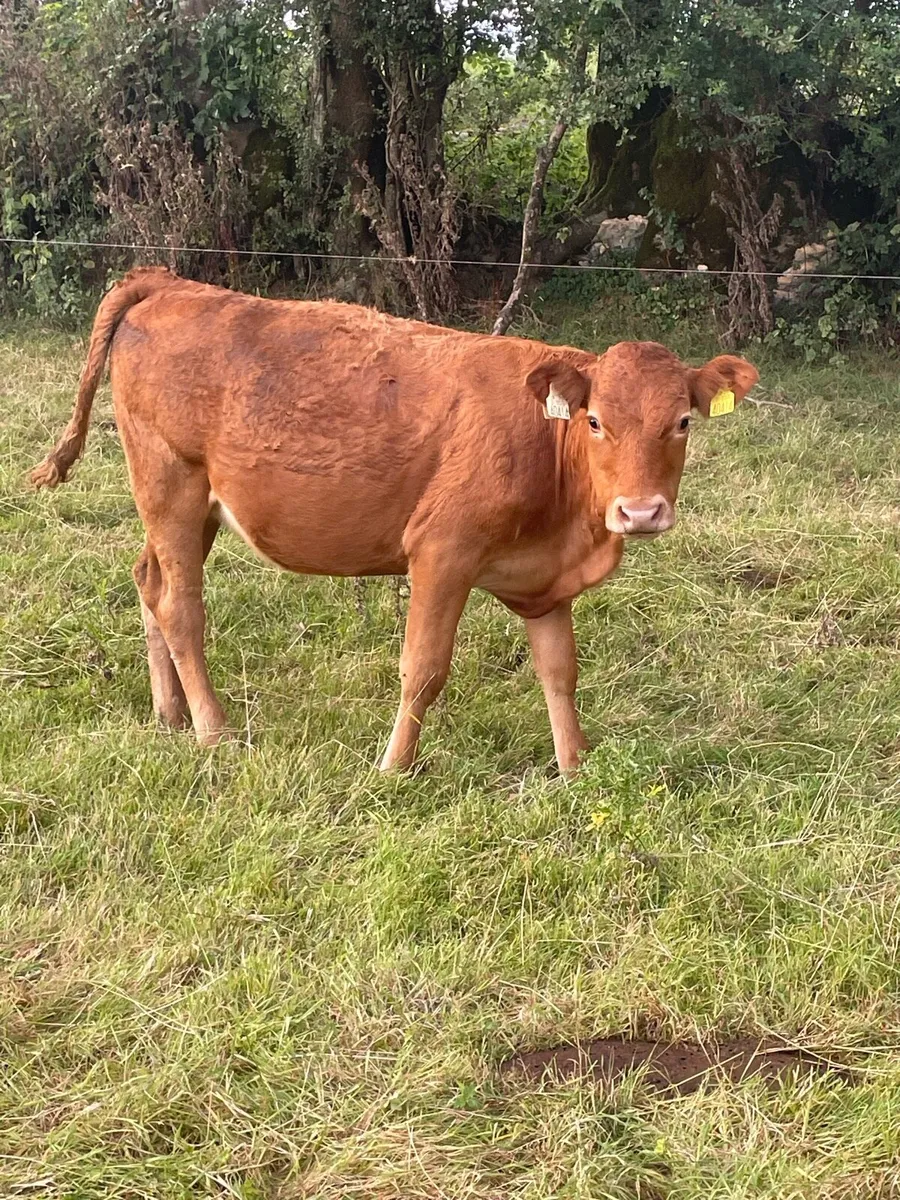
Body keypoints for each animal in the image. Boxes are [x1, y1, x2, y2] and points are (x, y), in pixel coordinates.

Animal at [31, 268, 758, 772]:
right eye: (597, 421)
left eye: (682, 422)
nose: (640, 511)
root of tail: (172, 282)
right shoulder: (441, 552)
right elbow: (425, 668)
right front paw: (393, 768)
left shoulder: (543, 581)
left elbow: (560, 671)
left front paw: (574, 766)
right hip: (170, 481)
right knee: (180, 606)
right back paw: (215, 731)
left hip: (192, 503)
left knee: (149, 582)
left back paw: (171, 714)